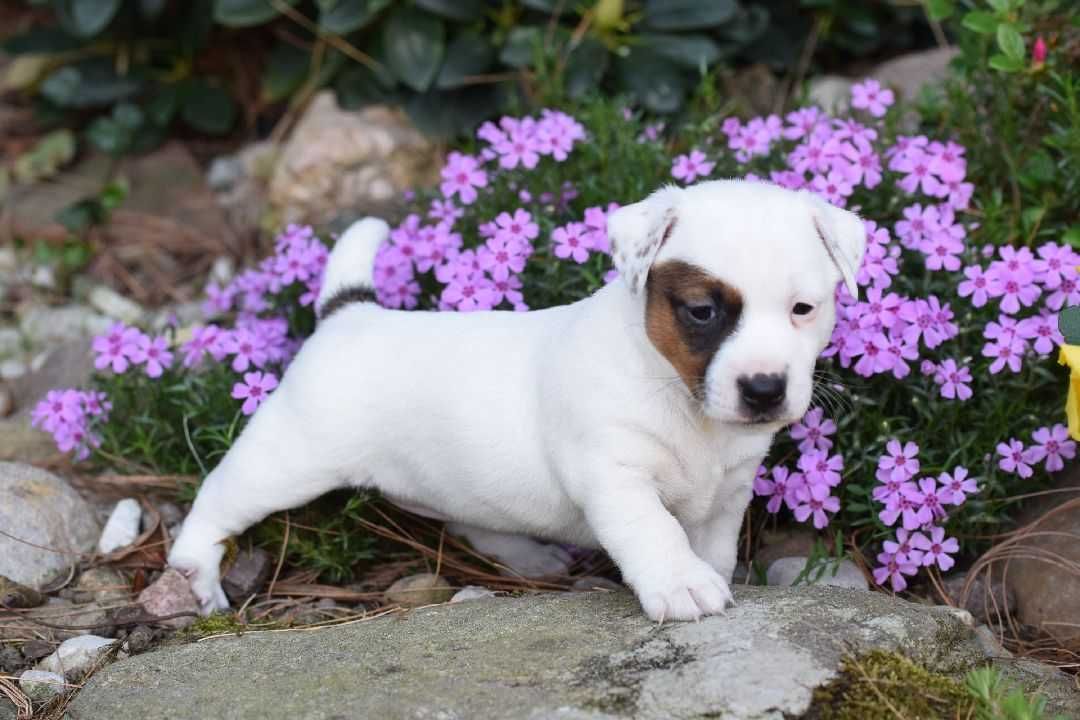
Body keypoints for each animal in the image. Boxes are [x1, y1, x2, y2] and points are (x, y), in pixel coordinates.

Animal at [164, 179, 864, 621]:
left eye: (804, 309)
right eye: (701, 311)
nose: (765, 389)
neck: (679, 395)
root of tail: (349, 313)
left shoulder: (728, 490)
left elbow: (712, 541)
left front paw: (711, 572)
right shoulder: (615, 475)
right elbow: (655, 530)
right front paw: (683, 585)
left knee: (466, 516)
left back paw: (527, 553)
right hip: (290, 458)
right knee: (219, 495)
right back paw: (197, 571)